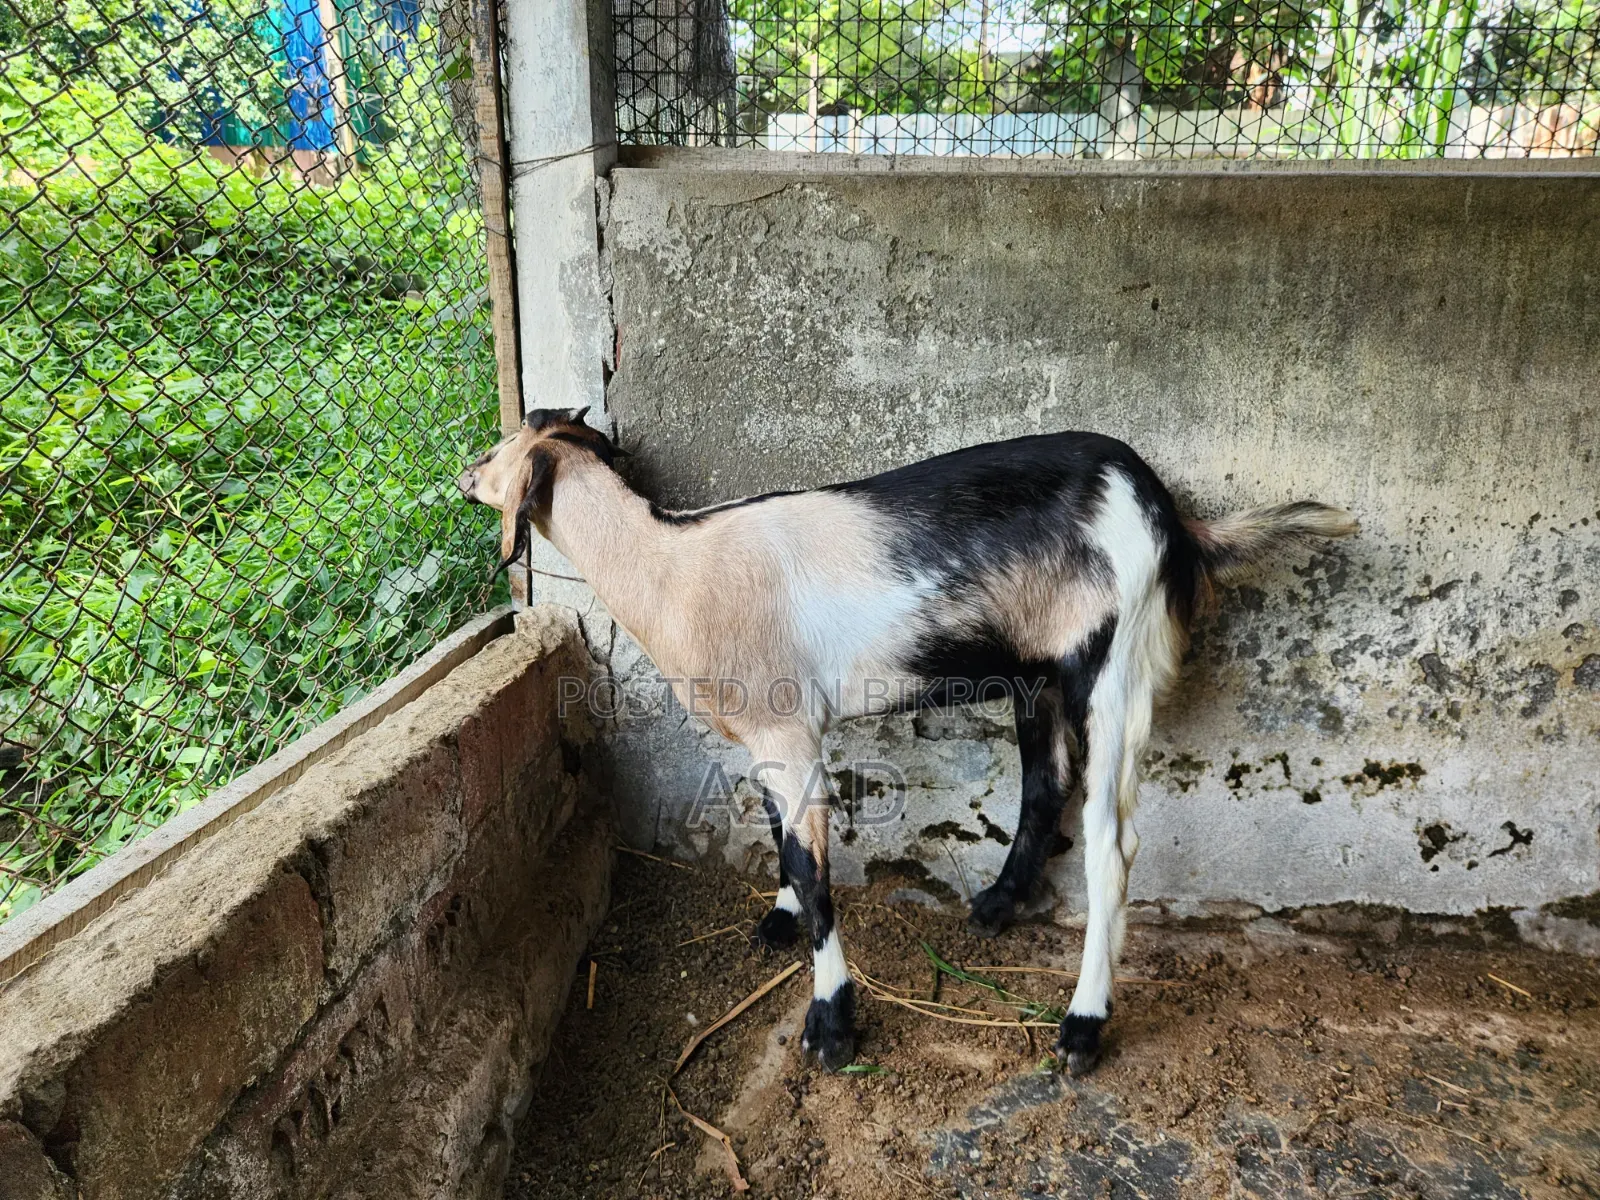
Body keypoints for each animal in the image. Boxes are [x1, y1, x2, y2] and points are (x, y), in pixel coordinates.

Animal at [457, 408, 1357, 1074]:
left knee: (1113, 841)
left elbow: (812, 866)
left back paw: (1081, 1025)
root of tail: (1173, 515)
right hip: (1036, 676)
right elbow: (780, 833)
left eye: (500, 449)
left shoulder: (788, 726)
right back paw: (997, 904)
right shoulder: (768, 738)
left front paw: (831, 1023)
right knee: (1045, 786)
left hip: (1116, 664)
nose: (464, 475)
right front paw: (779, 921)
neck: (671, 563)